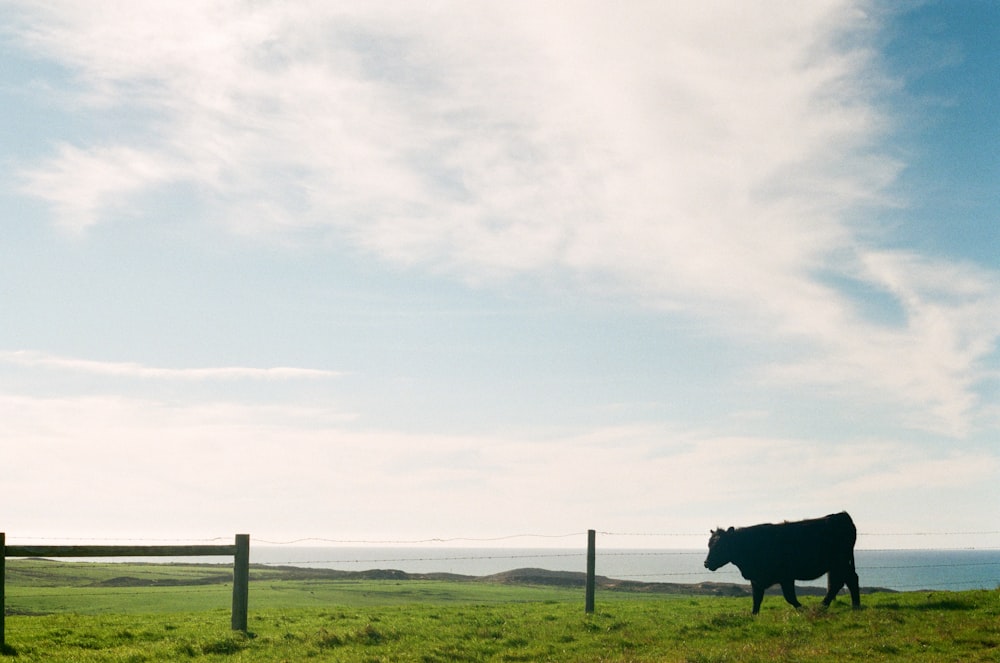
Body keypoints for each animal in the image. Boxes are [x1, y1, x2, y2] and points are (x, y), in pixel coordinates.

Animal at [704, 512, 860, 616]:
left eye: (720, 546)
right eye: (709, 545)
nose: (706, 563)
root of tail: (841, 515)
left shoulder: (786, 577)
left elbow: (790, 597)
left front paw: (803, 609)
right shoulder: (756, 579)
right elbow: (756, 599)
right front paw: (754, 616)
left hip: (840, 562)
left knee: (845, 581)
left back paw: (828, 605)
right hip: (838, 565)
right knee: (845, 581)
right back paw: (850, 605)